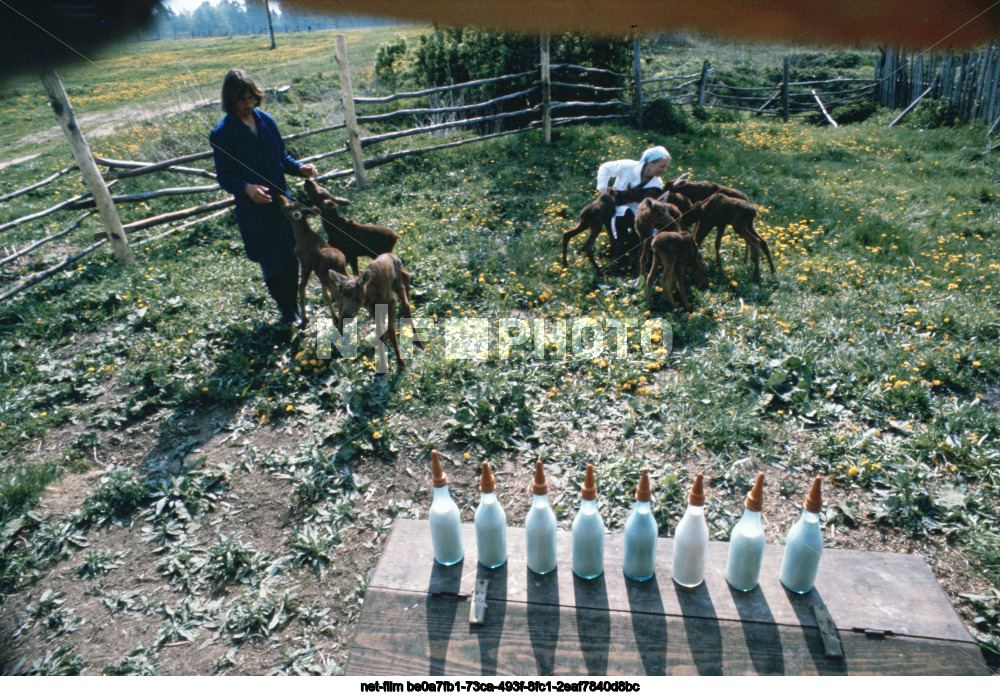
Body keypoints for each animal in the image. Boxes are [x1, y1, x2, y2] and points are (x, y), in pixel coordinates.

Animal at [278, 193, 348, 328]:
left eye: (287, 208)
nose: (280, 198)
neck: (301, 235)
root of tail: (339, 262)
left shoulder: (306, 264)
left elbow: (301, 288)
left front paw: (304, 319)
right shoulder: (316, 270)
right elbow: (325, 295)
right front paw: (334, 317)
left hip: (325, 273)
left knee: (339, 297)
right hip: (339, 273)